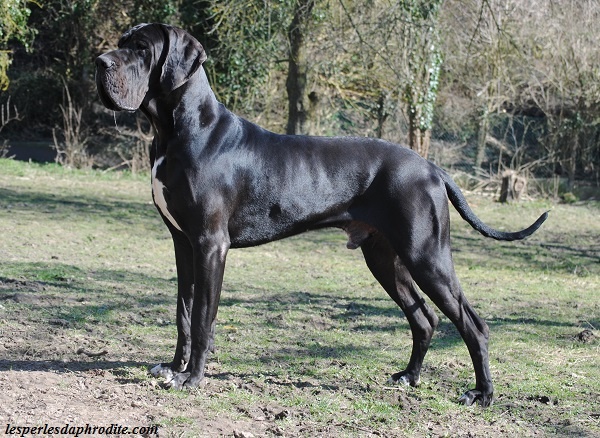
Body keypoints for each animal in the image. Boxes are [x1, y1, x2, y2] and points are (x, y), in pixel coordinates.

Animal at [95, 23, 547, 407]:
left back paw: (482, 394)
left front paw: (192, 378)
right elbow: (184, 313)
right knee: (424, 318)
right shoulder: (183, 243)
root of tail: (432, 168)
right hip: (385, 257)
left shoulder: (210, 245)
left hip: (427, 255)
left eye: (141, 49)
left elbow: (204, 316)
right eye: (122, 41)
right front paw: (174, 368)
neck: (179, 130)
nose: (100, 61)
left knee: (473, 324)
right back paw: (409, 377)